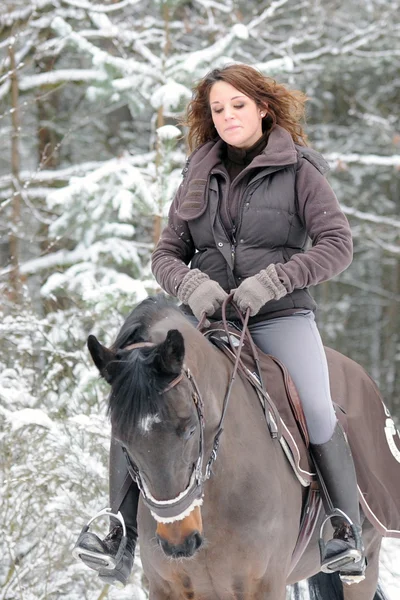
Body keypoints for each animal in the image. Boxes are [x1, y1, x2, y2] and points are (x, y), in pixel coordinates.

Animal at [86, 296, 388, 600]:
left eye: (191, 429)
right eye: (122, 441)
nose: (178, 541)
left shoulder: (265, 585)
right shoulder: (166, 587)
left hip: (365, 566)